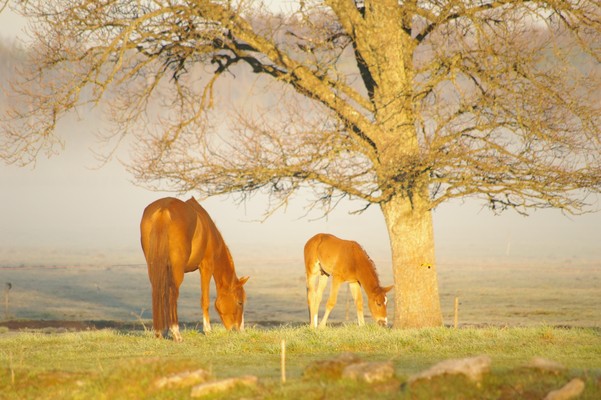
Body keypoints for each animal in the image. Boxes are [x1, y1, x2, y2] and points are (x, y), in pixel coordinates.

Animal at [139, 197, 247, 340]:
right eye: (240, 302)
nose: (240, 329)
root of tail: (163, 209)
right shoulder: (206, 267)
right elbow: (205, 300)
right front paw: (208, 330)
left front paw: (165, 331)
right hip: (177, 270)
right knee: (173, 294)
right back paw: (176, 333)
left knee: (158, 291)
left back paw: (159, 332)